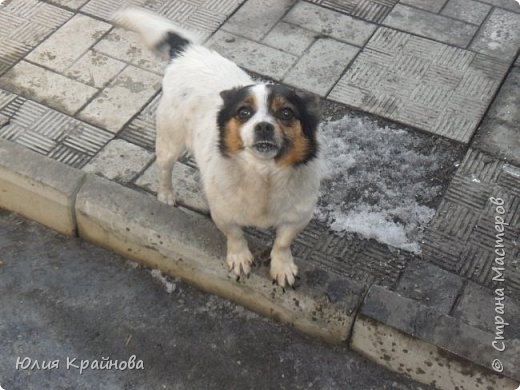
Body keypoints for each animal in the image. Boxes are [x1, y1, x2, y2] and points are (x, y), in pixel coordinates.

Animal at [112, 7, 320, 284]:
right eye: (244, 113)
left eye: (286, 113)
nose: (263, 127)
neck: (263, 174)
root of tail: (188, 52)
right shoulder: (223, 213)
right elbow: (235, 235)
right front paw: (240, 257)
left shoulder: (298, 217)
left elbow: (283, 242)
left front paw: (282, 265)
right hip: (169, 141)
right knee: (164, 168)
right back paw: (166, 194)